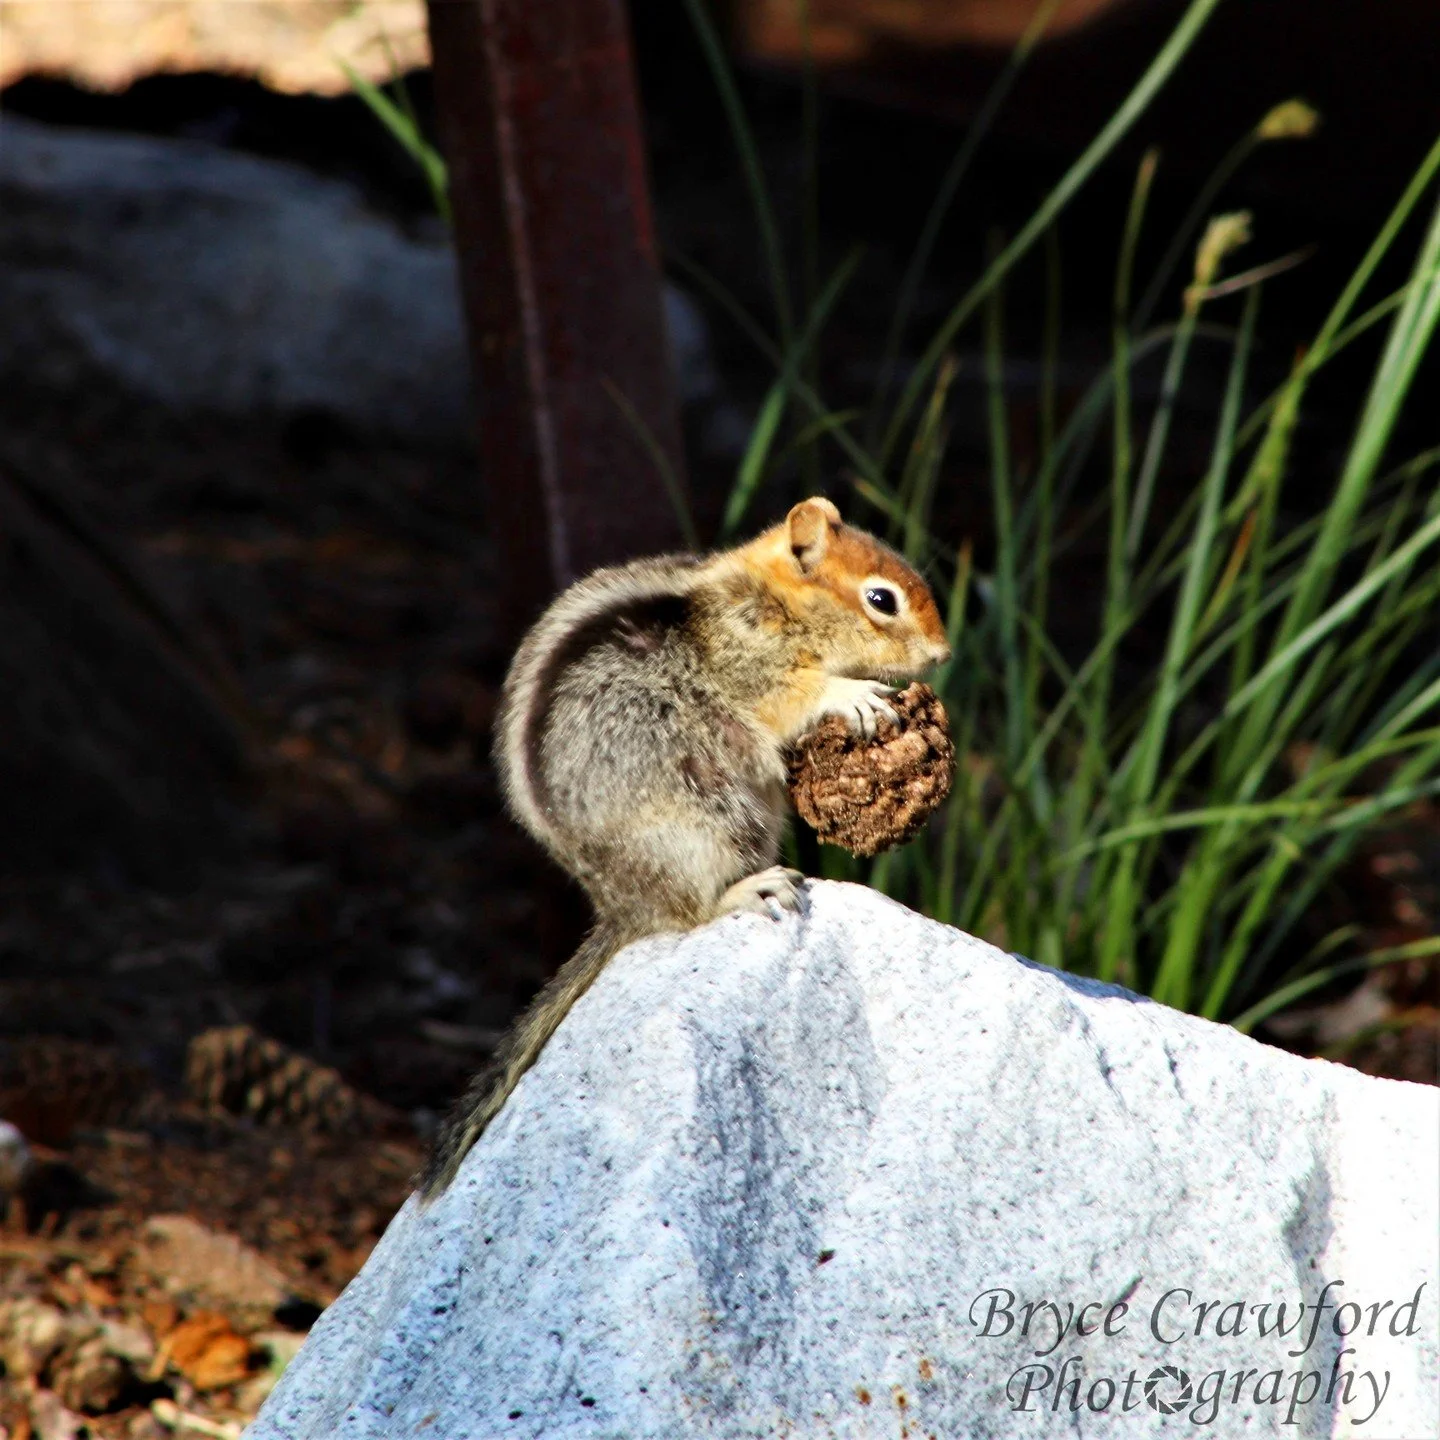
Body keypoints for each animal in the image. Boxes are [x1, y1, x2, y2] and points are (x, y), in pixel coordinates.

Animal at [421, 497, 950, 1197]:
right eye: (881, 599)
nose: (943, 653)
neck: (771, 598)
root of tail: (623, 908)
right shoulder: (751, 666)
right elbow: (795, 694)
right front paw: (851, 693)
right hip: (700, 830)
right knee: (692, 913)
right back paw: (749, 888)